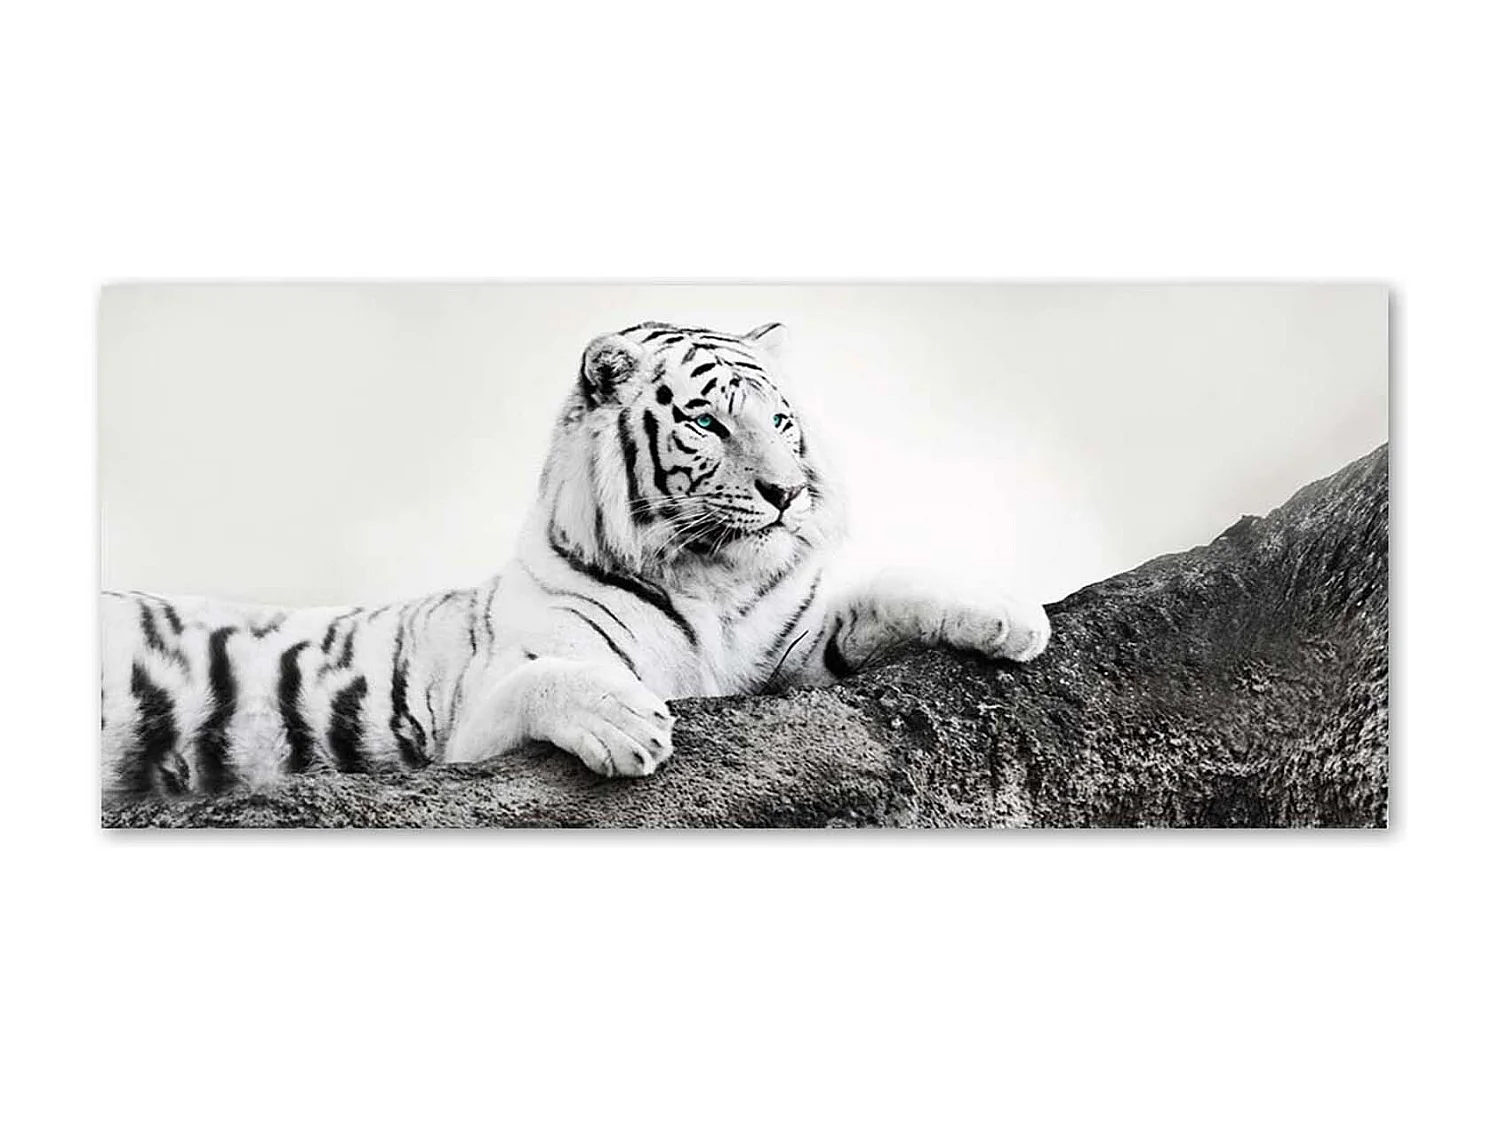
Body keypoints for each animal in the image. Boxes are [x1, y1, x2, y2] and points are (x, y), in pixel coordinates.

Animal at [100, 320, 1050, 798]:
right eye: (707, 422)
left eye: (781, 422)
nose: (786, 493)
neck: (711, 581)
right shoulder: (470, 724)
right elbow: (545, 677)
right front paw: (629, 722)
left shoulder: (797, 649)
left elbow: (888, 588)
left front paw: (1012, 616)